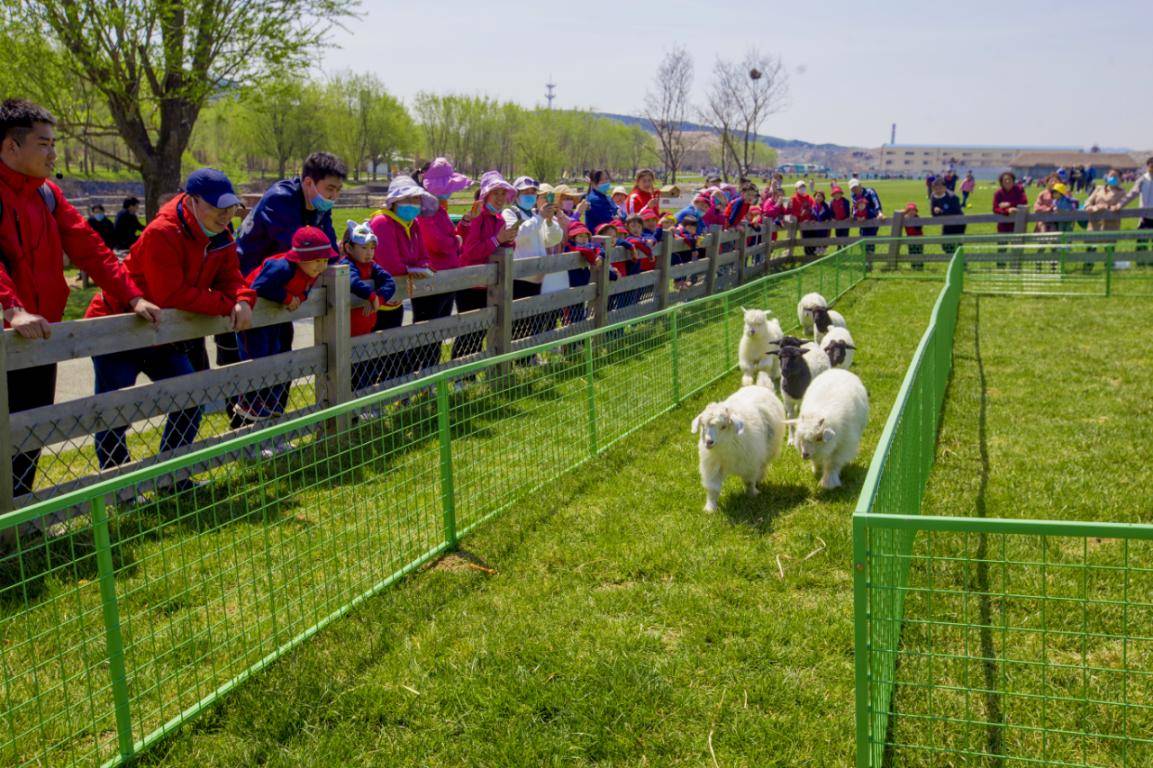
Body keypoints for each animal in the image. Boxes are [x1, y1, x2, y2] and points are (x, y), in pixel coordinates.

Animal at [687, 369, 788, 507]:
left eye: (723, 426)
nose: (709, 442)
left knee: (763, 465)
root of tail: (761, 386)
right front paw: (711, 508)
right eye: (703, 425)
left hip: (768, 450)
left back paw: (759, 479)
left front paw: (752, 495)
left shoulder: (750, 464)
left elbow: (749, 482)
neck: (725, 449)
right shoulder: (712, 467)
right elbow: (713, 489)